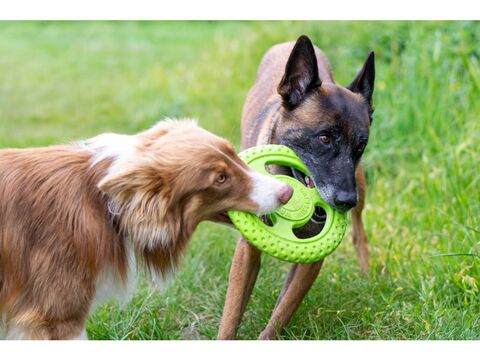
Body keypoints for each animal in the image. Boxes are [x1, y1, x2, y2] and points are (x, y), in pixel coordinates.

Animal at [218, 35, 376, 338]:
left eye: (360, 146)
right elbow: (232, 313)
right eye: (325, 138)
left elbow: (283, 310)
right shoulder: (246, 250)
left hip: (361, 185)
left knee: (360, 231)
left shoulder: (312, 260)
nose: (345, 201)